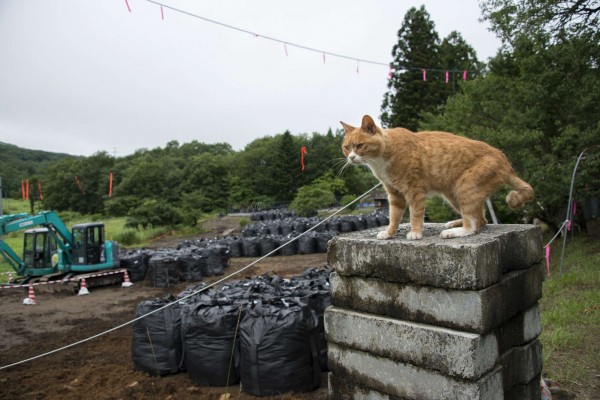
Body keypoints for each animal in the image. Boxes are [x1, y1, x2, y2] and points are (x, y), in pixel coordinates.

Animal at [340, 115, 532, 241]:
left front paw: (416, 232)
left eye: (360, 146)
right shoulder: (394, 193)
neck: (381, 160)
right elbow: (394, 216)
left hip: (465, 188)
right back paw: (454, 223)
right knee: (481, 220)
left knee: (473, 225)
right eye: (346, 147)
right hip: (453, 195)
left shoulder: (414, 189)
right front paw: (389, 233)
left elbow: (415, 214)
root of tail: (504, 159)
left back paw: (455, 232)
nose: (351, 158)